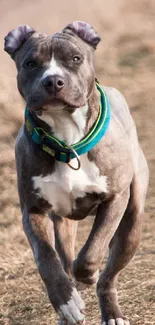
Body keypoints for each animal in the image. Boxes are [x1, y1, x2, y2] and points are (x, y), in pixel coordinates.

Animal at [3, 21, 149, 322]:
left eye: (75, 58)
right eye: (30, 63)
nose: (53, 81)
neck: (67, 139)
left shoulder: (115, 199)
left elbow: (93, 250)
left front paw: (86, 277)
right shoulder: (32, 210)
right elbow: (46, 259)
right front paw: (66, 302)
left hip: (132, 223)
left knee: (108, 276)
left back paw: (111, 311)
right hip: (64, 223)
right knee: (66, 255)